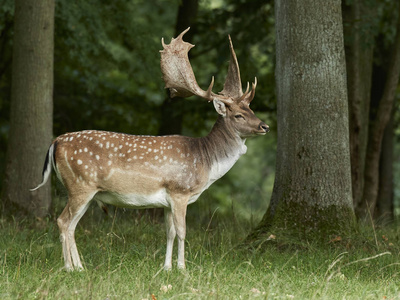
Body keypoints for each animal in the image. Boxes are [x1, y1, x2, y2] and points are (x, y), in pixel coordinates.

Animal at [30, 28, 268, 272]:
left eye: (251, 109)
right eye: (238, 115)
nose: (265, 126)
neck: (205, 162)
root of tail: (55, 142)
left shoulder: (167, 201)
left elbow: (169, 232)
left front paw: (167, 268)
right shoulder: (179, 190)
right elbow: (182, 231)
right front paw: (183, 269)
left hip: (87, 191)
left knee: (71, 225)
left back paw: (80, 267)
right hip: (80, 184)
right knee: (63, 221)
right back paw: (70, 268)